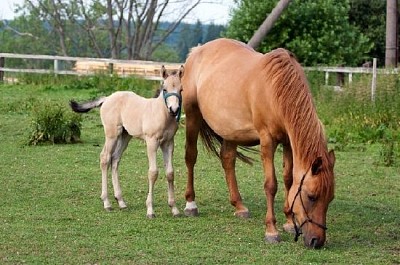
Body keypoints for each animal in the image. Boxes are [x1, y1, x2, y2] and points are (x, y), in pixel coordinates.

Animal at [70, 65, 184, 217]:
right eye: (164, 89)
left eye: (181, 89)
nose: (174, 109)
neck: (161, 114)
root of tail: (107, 98)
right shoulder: (152, 142)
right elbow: (153, 173)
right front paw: (150, 210)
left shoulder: (169, 143)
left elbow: (170, 173)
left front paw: (174, 208)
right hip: (112, 135)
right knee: (105, 158)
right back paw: (107, 202)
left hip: (125, 136)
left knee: (115, 159)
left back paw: (121, 201)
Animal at [183, 38, 336, 248]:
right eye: (311, 196)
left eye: (330, 198)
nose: (317, 241)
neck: (276, 89)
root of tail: (197, 51)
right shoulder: (267, 141)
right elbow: (271, 185)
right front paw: (271, 230)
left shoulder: (288, 141)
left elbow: (289, 179)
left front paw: (289, 222)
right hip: (192, 116)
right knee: (191, 157)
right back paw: (191, 204)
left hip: (230, 130)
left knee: (227, 159)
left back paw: (239, 206)